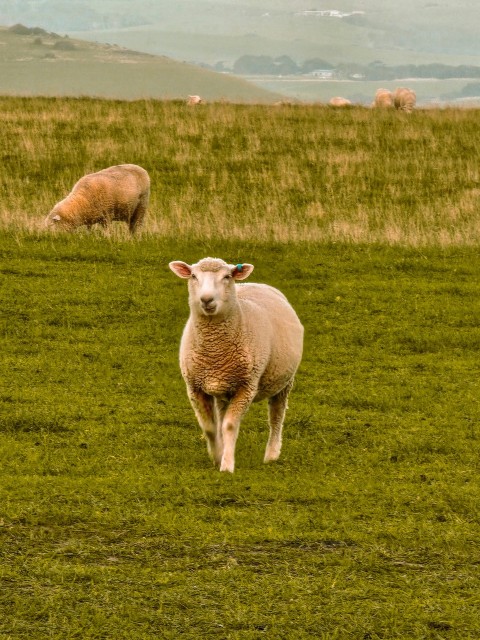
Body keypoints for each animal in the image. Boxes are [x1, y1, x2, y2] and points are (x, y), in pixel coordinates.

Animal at [169, 258, 304, 472]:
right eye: (193, 276)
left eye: (227, 276)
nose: (206, 300)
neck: (214, 350)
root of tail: (255, 283)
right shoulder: (195, 387)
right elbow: (210, 427)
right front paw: (218, 456)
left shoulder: (246, 386)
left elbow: (230, 425)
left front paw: (226, 466)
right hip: (224, 388)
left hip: (284, 381)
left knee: (276, 416)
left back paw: (272, 454)